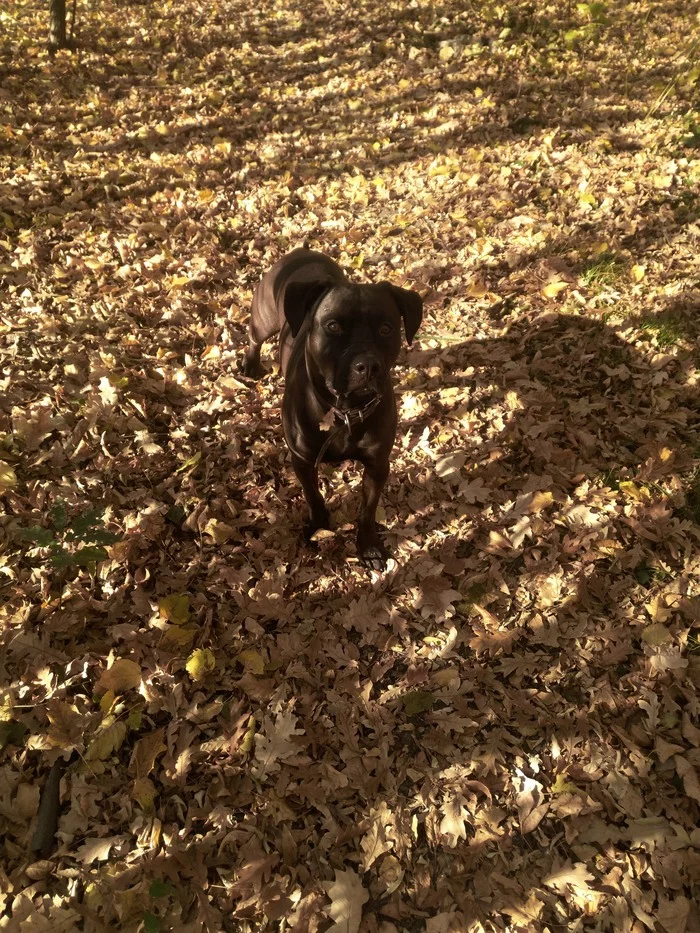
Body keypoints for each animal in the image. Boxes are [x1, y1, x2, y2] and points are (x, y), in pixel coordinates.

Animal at [243, 248, 424, 568]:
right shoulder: (302, 460)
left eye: (386, 328)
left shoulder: (378, 465)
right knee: (254, 337)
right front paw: (319, 528)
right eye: (333, 326)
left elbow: (367, 509)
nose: (368, 365)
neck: (345, 412)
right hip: (263, 318)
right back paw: (250, 364)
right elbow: (313, 496)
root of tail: (302, 251)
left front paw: (369, 547)